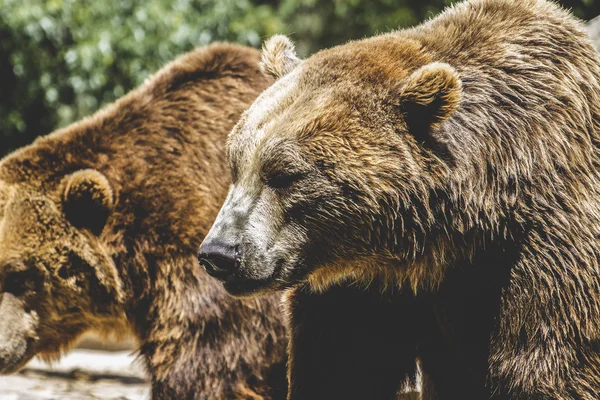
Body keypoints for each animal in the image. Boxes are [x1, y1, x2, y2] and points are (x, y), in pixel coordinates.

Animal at [200, 0, 600, 398]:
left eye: (284, 174)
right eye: (235, 165)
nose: (219, 253)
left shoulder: (545, 246)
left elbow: (546, 366)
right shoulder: (366, 285)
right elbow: (341, 367)